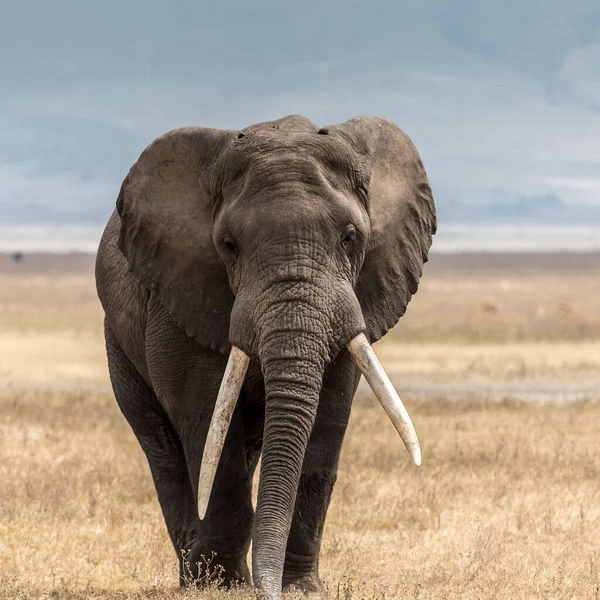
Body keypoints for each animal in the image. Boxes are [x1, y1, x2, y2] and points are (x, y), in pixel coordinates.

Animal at [96, 115, 438, 596]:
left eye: (351, 238)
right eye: (228, 245)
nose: (268, 589)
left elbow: (326, 426)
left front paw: (300, 589)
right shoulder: (180, 295)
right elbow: (207, 422)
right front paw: (221, 584)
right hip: (118, 342)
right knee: (161, 445)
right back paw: (193, 573)